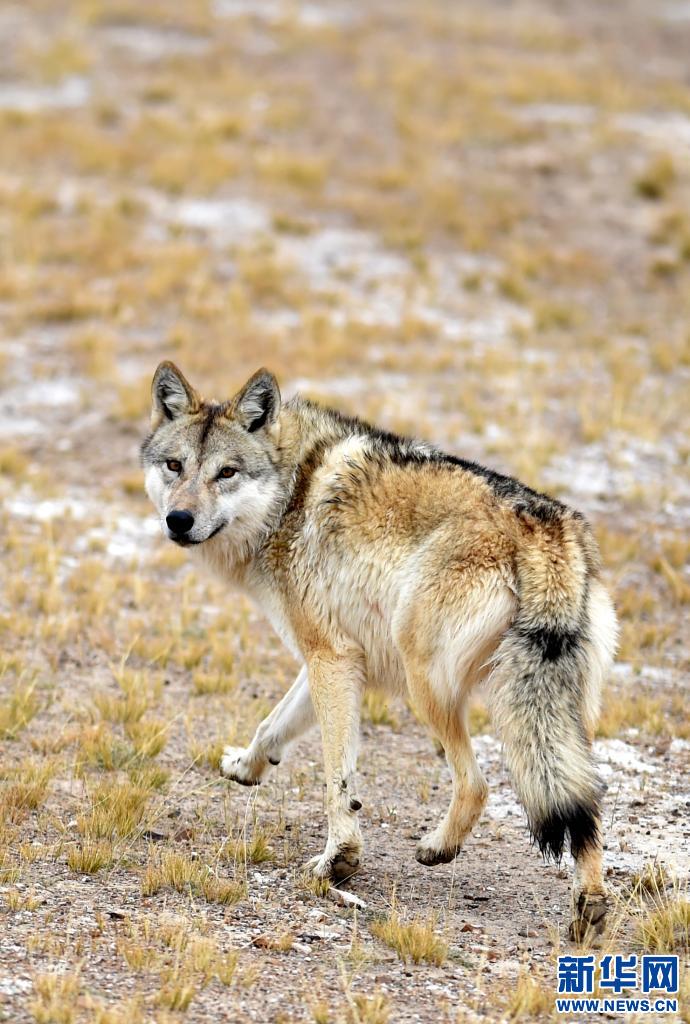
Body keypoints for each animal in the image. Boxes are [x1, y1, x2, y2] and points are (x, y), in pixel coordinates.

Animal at [141, 361, 618, 941]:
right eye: (175, 466)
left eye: (226, 473)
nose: (179, 520)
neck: (290, 495)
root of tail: (546, 532)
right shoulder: (337, 655)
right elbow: (272, 725)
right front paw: (246, 767)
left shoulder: (329, 658)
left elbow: (336, 778)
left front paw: (337, 861)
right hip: (562, 717)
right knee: (586, 800)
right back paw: (589, 908)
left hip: (427, 685)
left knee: (478, 784)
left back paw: (436, 848)